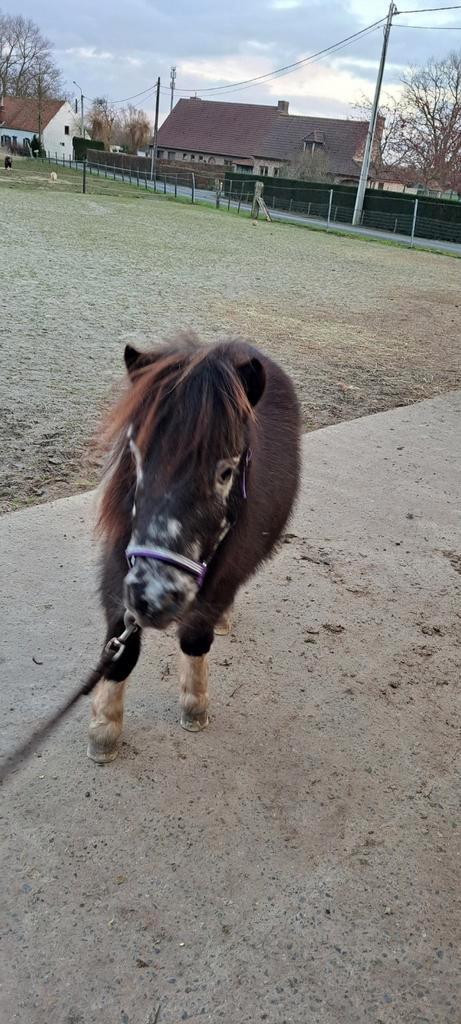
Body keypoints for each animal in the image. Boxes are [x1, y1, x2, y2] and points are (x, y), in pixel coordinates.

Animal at [88, 336, 301, 763]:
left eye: (225, 472)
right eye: (135, 456)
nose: (153, 597)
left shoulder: (224, 574)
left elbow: (195, 636)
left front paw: (195, 705)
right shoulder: (119, 572)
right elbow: (120, 645)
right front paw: (104, 730)